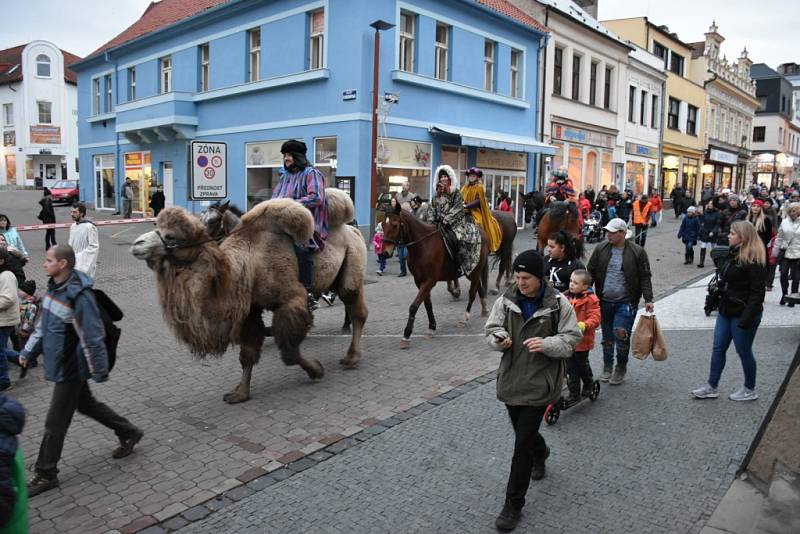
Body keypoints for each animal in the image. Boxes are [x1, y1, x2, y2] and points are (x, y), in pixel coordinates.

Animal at [131, 191, 368, 404]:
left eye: (171, 236)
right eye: (157, 225)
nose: (137, 244)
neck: (249, 263)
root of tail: (353, 229)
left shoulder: (291, 298)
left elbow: (289, 351)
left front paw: (316, 370)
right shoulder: (250, 310)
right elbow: (248, 352)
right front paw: (239, 393)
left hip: (352, 267)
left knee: (357, 310)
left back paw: (352, 357)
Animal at [380, 203, 488, 350]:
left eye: (395, 225)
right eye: (382, 225)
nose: (385, 253)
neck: (423, 245)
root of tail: (483, 233)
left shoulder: (429, 281)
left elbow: (414, 306)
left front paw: (406, 335)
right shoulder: (419, 281)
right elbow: (427, 305)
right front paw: (432, 327)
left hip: (475, 270)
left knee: (472, 293)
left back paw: (465, 318)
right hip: (470, 271)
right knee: (479, 287)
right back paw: (484, 308)